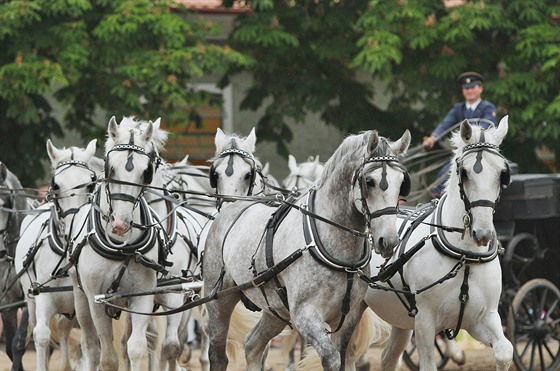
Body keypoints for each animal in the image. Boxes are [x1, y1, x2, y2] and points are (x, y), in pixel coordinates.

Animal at [14, 140, 100, 371]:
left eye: (91, 184)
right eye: (55, 185)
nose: (74, 226)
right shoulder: (44, 297)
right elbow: (42, 336)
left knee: (63, 328)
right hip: (31, 300)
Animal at [202, 129, 412, 370]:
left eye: (402, 183)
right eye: (369, 181)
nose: (388, 241)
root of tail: (232, 207)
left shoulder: (347, 317)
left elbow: (342, 357)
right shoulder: (305, 315)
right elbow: (332, 358)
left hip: (276, 310)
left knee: (253, 345)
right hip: (219, 301)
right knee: (218, 355)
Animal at [360, 117, 516, 370]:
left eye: (502, 174)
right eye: (464, 172)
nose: (482, 233)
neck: (465, 256)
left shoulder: (483, 317)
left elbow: (505, 351)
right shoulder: (424, 319)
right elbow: (428, 364)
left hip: (401, 321)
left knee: (388, 358)